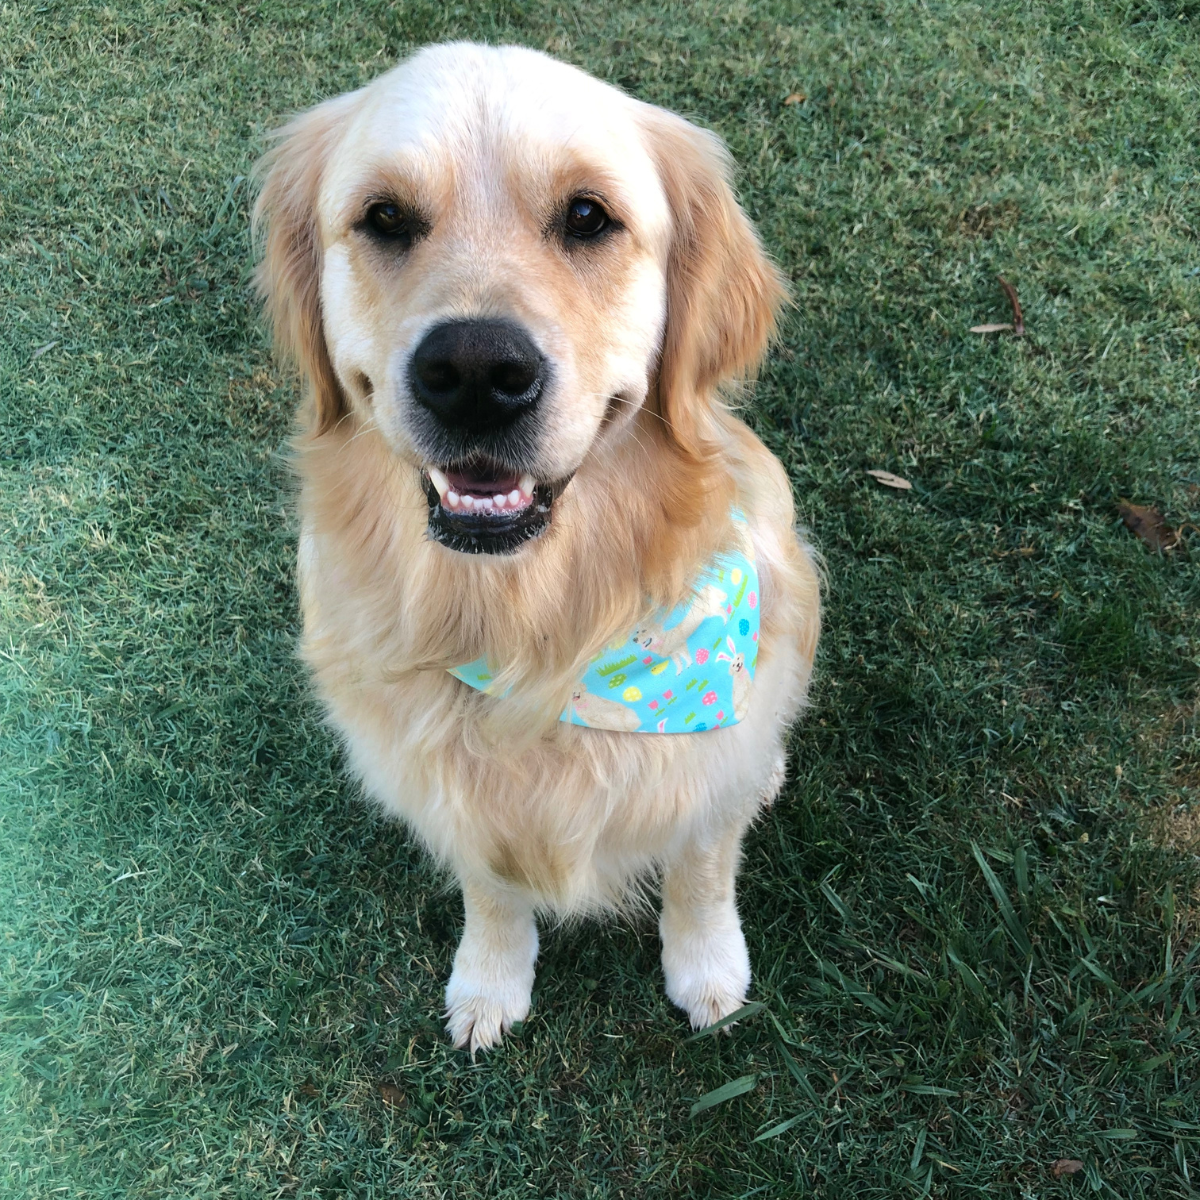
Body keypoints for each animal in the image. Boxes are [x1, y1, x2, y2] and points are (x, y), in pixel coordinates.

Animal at [250, 42, 816, 1051]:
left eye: (588, 216)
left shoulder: (705, 783)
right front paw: (489, 980)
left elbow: (703, 869)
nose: (476, 371)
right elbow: (491, 888)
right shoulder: (453, 794)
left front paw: (709, 968)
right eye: (384, 217)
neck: (535, 632)